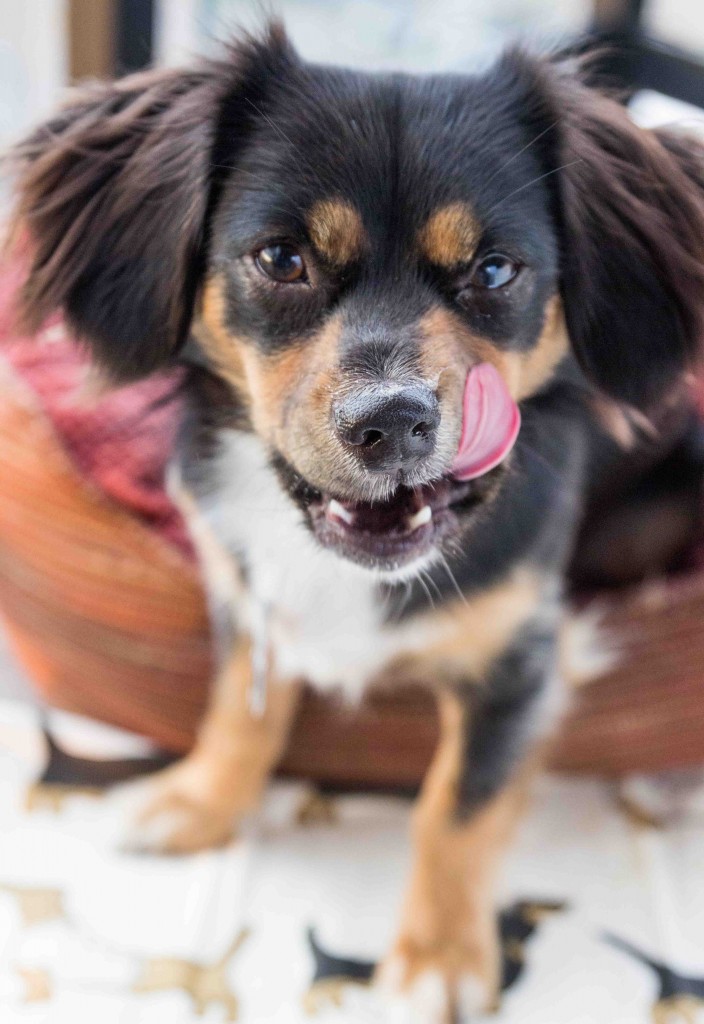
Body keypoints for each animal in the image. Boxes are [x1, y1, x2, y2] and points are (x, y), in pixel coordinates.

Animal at [8, 24, 704, 1024]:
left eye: (495, 270)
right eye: (281, 259)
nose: (393, 422)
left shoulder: (519, 661)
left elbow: (456, 808)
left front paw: (438, 959)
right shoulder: (241, 593)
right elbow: (240, 709)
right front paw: (199, 804)